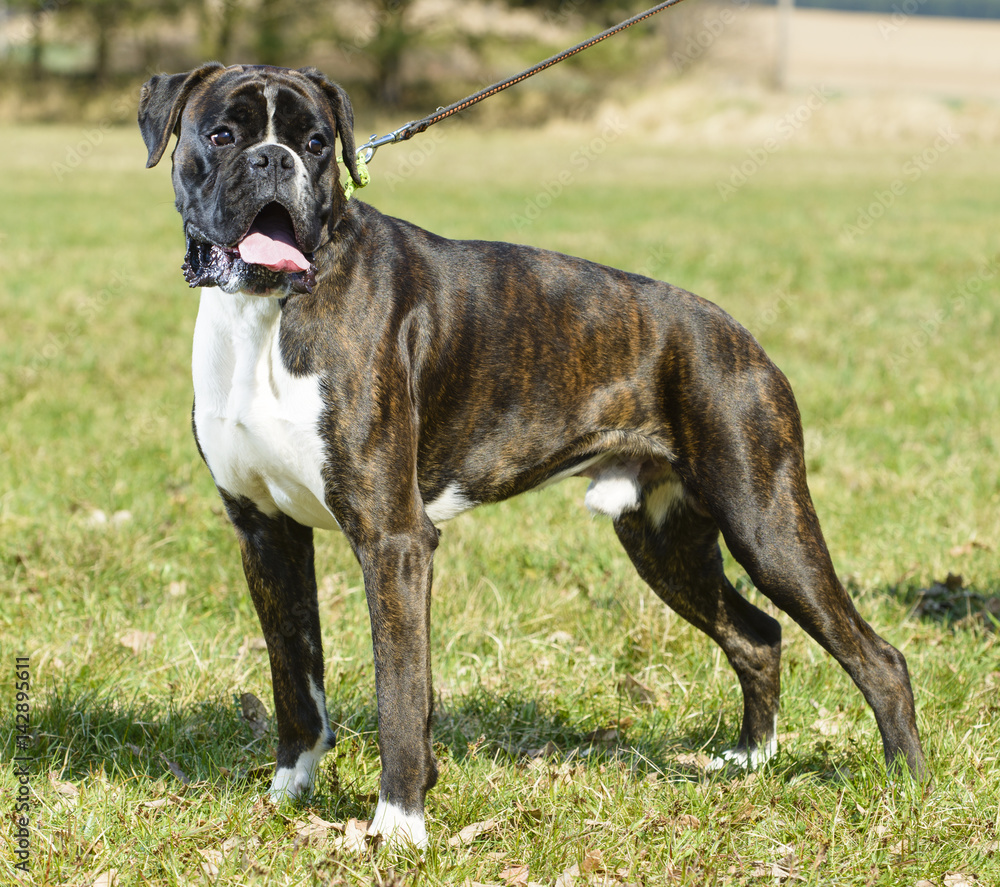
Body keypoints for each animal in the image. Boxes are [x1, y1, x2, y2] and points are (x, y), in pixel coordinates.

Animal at [137, 60, 924, 848]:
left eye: (316, 142)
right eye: (222, 135)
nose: (274, 160)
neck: (267, 312)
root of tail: (741, 338)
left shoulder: (393, 540)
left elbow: (400, 690)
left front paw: (399, 823)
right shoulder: (266, 533)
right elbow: (294, 676)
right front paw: (289, 789)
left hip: (767, 526)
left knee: (876, 656)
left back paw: (909, 789)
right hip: (666, 544)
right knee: (757, 635)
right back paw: (750, 761)